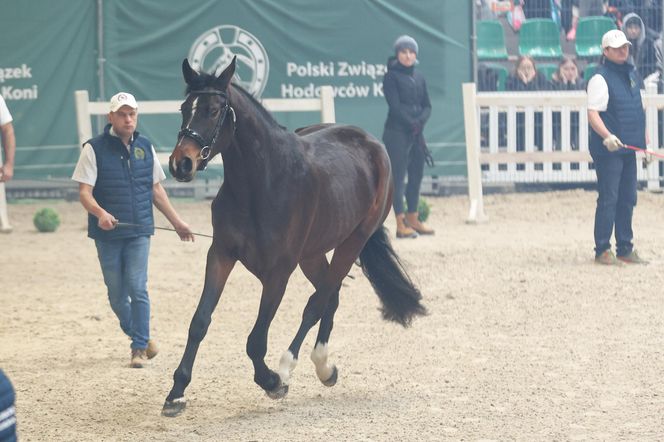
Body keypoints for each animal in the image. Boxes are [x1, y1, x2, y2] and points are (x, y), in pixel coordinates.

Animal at [163, 57, 428, 416]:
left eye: (214, 110)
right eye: (184, 108)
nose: (181, 164)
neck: (261, 182)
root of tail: (370, 142)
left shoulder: (279, 272)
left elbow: (256, 340)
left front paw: (273, 381)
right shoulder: (220, 255)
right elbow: (200, 321)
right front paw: (176, 393)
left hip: (351, 242)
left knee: (319, 301)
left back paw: (300, 366)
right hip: (312, 254)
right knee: (331, 296)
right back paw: (325, 368)